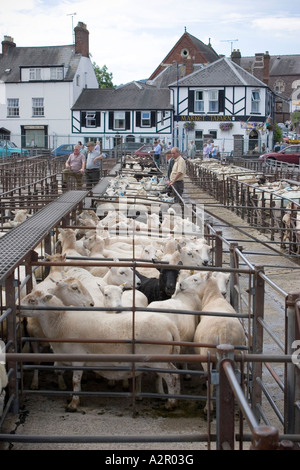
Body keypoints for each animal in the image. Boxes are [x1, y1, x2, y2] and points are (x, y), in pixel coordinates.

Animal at [21, 290, 180, 412]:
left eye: (32, 300)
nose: (18, 307)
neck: (61, 322)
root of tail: (170, 326)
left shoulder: (78, 358)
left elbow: (75, 380)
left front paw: (73, 403)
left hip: (158, 360)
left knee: (171, 377)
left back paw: (170, 404)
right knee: (176, 374)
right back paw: (174, 398)